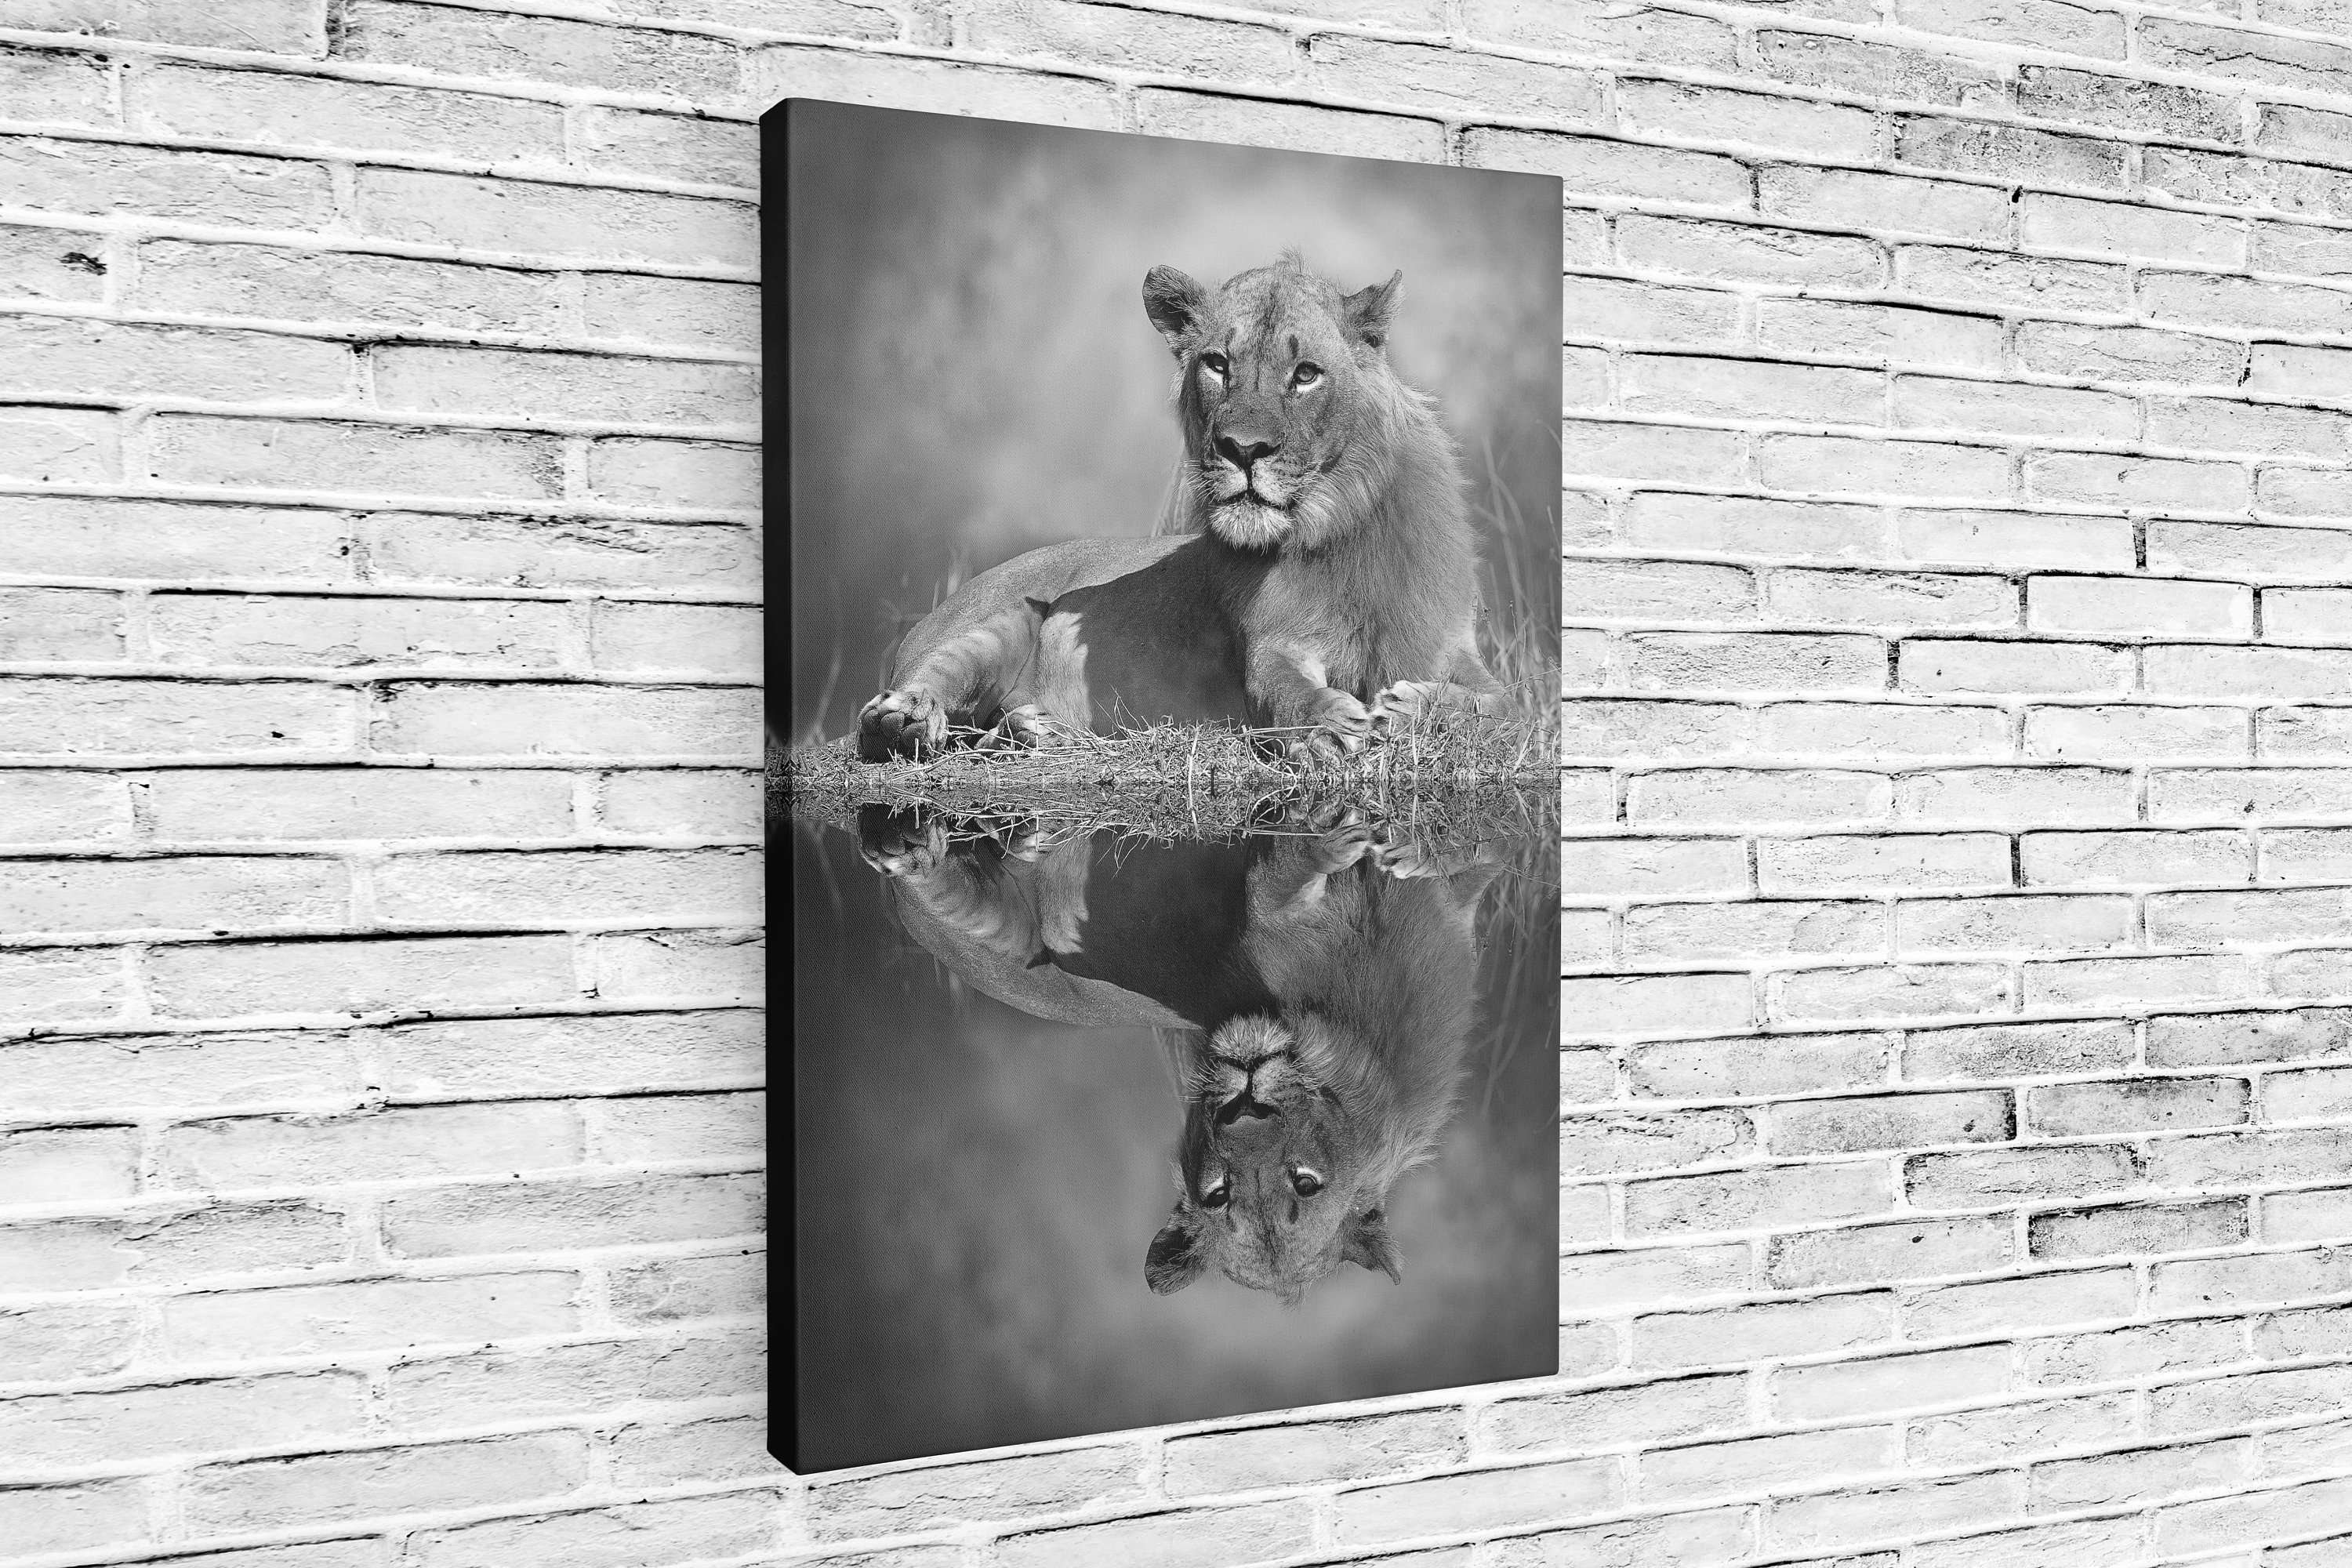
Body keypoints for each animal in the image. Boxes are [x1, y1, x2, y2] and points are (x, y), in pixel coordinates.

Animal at [856, 253, 1509, 763]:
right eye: (1218, 364)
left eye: (1306, 375)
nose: (1242, 449)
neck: (1339, 524)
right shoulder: (1270, 647)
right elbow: (1287, 692)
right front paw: (1331, 727)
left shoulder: (1452, 645)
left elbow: (1499, 706)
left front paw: (1406, 708)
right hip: (1004, 619)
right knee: (908, 703)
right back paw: (909, 717)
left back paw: (1033, 731)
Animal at [857, 807, 1503, 1303]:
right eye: (1218, 1194)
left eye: (1306, 1184)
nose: (1246, 1106)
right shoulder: (1273, 930)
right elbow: (1282, 886)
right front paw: (1334, 837)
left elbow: (1463, 863)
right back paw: (908, 833)